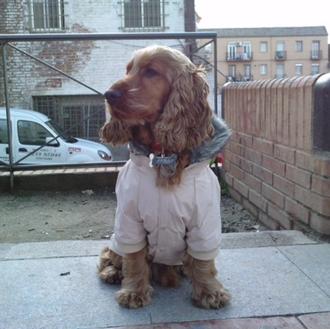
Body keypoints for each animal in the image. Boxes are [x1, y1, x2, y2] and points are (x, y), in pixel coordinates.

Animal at [99, 44, 231, 308]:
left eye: (151, 72)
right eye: (128, 69)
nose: (109, 94)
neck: (163, 155)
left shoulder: (204, 221)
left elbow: (204, 261)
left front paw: (210, 292)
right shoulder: (129, 218)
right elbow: (134, 258)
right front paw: (134, 292)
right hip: (118, 235)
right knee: (109, 254)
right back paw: (112, 272)